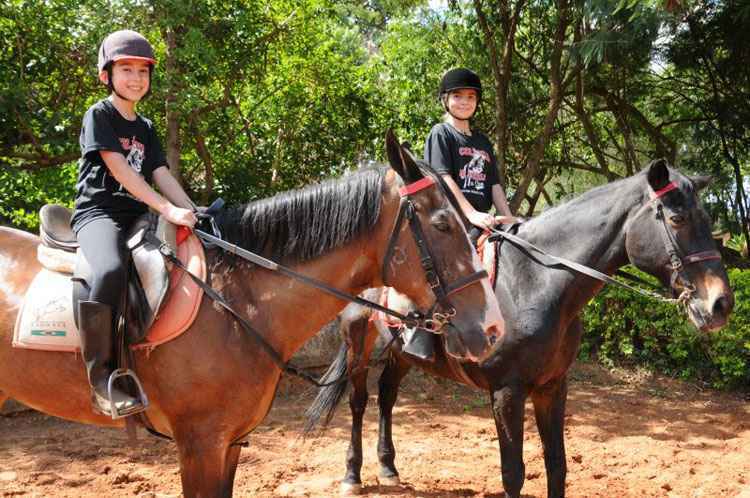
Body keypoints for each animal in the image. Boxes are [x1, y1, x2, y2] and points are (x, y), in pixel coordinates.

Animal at [304, 160, 736, 498]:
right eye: (677, 219)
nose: (721, 304)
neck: (534, 281)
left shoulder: (552, 387)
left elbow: (557, 465)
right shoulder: (507, 391)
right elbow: (513, 474)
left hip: (401, 351)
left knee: (388, 395)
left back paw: (389, 468)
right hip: (357, 343)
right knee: (359, 401)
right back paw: (353, 475)